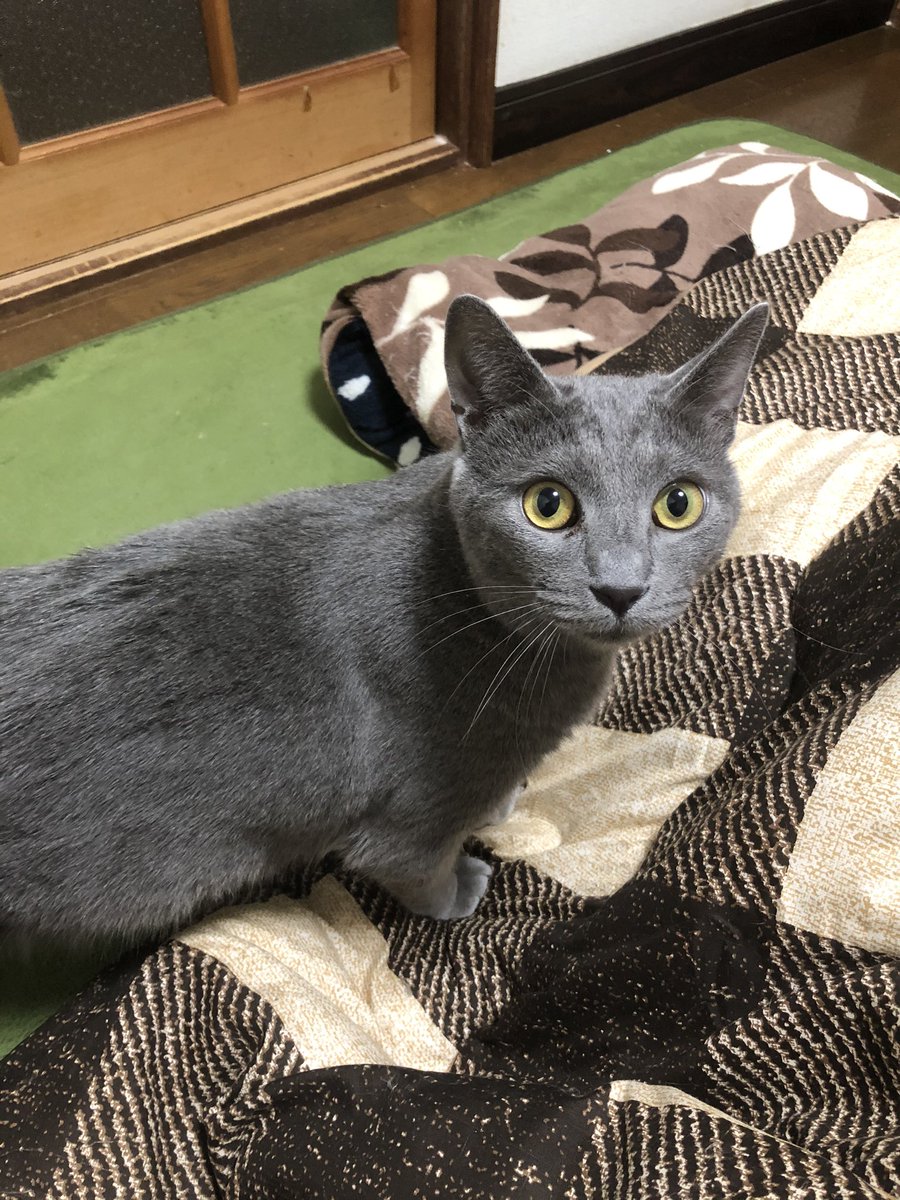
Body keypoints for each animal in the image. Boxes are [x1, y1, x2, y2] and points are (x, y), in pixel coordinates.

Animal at [0, 295, 767, 948]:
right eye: (547, 505)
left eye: (678, 504)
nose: (620, 586)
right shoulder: (409, 817)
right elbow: (415, 867)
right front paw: (463, 887)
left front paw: (499, 804)